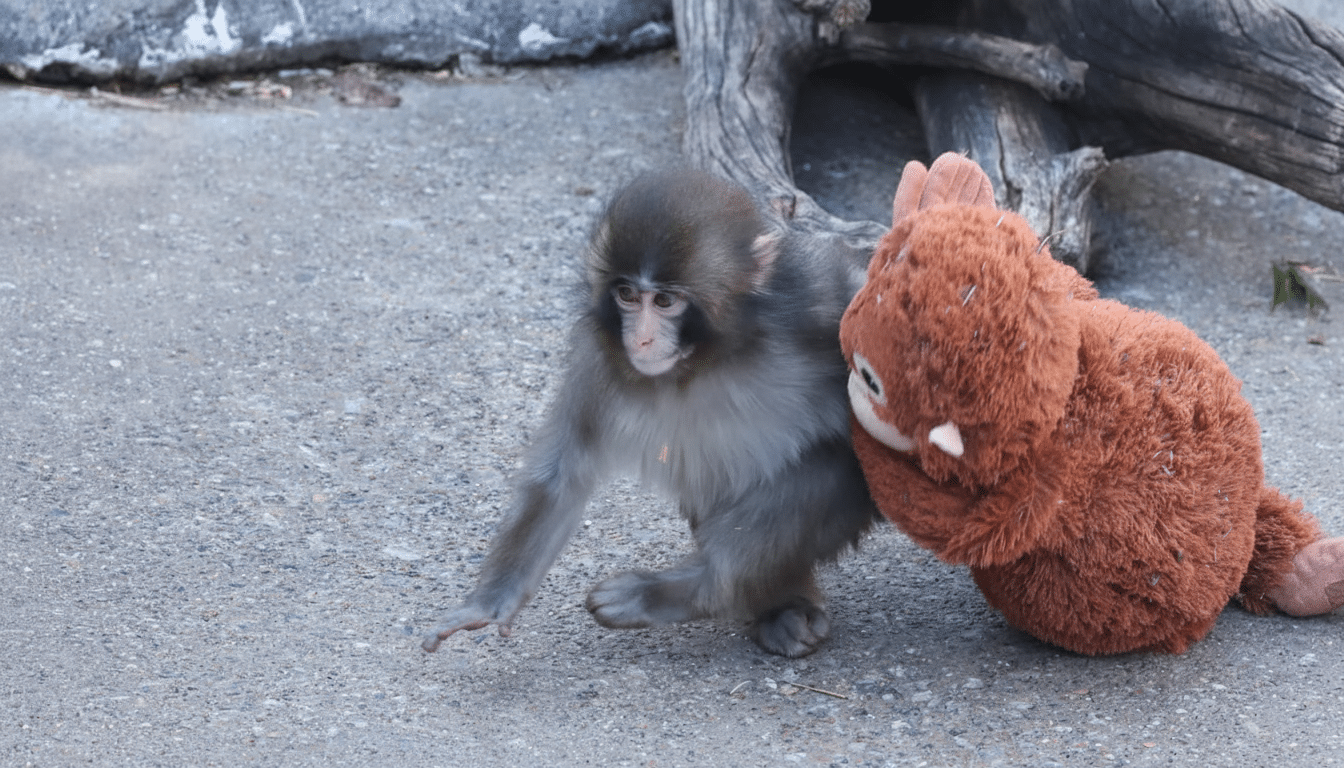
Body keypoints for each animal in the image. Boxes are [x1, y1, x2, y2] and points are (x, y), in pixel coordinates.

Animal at [422, 169, 880, 657]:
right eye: (626, 295)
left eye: (664, 302)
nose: (640, 340)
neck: (709, 358)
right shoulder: (599, 358)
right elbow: (563, 474)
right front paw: (490, 601)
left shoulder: (818, 304)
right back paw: (779, 606)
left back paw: (693, 590)